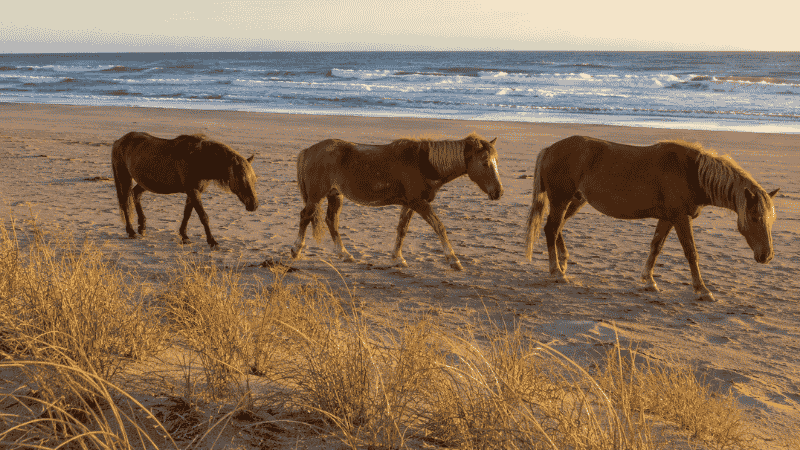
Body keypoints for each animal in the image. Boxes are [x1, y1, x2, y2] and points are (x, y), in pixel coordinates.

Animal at [111, 131, 259, 248]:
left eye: (254, 180)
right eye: (242, 180)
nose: (254, 205)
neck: (199, 158)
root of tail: (119, 141)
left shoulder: (193, 192)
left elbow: (187, 214)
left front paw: (184, 236)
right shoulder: (193, 191)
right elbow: (203, 216)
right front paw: (212, 241)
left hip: (143, 183)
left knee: (135, 194)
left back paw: (142, 227)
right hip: (124, 177)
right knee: (124, 202)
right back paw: (131, 231)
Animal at [291, 133, 504, 270]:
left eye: (496, 162)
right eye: (485, 162)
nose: (499, 192)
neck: (423, 163)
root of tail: (309, 150)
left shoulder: (409, 204)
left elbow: (402, 230)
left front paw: (397, 258)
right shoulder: (419, 203)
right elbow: (439, 226)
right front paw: (453, 259)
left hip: (335, 195)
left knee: (331, 221)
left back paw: (345, 254)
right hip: (316, 196)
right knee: (305, 216)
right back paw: (296, 249)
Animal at [524, 135, 778, 302]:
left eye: (770, 220)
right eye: (755, 217)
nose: (766, 256)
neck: (691, 171)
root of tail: (550, 148)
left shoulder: (668, 218)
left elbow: (656, 247)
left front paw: (649, 280)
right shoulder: (680, 218)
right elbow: (691, 252)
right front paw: (702, 289)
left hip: (575, 200)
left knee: (557, 228)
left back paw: (563, 263)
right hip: (561, 200)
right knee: (551, 229)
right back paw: (557, 272)